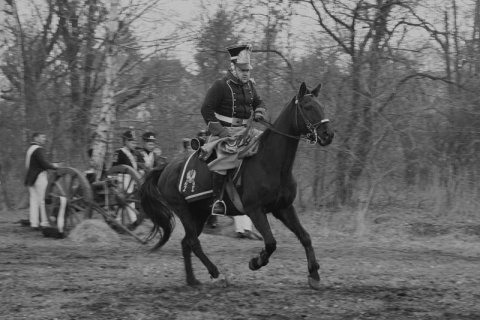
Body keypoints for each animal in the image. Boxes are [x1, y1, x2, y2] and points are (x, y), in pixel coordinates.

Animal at [139, 81, 334, 288]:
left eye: (321, 106)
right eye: (308, 107)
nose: (328, 134)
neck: (270, 163)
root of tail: (167, 167)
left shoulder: (283, 208)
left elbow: (305, 237)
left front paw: (314, 274)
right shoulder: (255, 210)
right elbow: (271, 242)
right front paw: (256, 262)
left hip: (199, 213)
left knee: (186, 243)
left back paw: (192, 280)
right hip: (184, 211)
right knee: (193, 242)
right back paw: (215, 272)